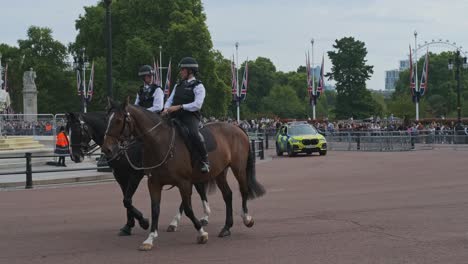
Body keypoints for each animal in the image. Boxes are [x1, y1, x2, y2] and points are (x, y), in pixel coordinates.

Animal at [65, 111, 212, 235]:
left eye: (78, 130)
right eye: (67, 131)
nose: (75, 156)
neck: (123, 146)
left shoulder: (135, 175)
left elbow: (127, 200)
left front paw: (143, 222)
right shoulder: (120, 176)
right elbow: (126, 200)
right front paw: (128, 225)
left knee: (198, 190)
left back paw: (203, 216)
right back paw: (177, 222)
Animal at [102, 100, 266, 251]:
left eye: (118, 120)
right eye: (106, 119)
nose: (106, 149)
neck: (159, 143)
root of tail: (236, 126)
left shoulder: (183, 182)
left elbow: (188, 208)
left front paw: (201, 233)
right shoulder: (153, 183)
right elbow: (154, 208)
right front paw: (149, 238)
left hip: (238, 168)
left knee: (243, 190)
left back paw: (246, 218)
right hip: (220, 172)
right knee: (228, 194)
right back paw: (226, 227)